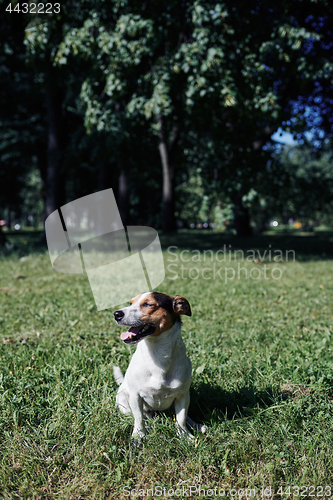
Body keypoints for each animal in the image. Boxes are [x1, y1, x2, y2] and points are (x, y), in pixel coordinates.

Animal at [112, 292, 205, 442]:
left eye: (148, 304)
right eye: (131, 303)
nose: (116, 314)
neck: (157, 355)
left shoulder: (182, 395)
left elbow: (181, 418)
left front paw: (184, 435)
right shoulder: (135, 396)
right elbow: (138, 418)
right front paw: (138, 435)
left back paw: (196, 425)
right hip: (124, 401)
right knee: (141, 415)